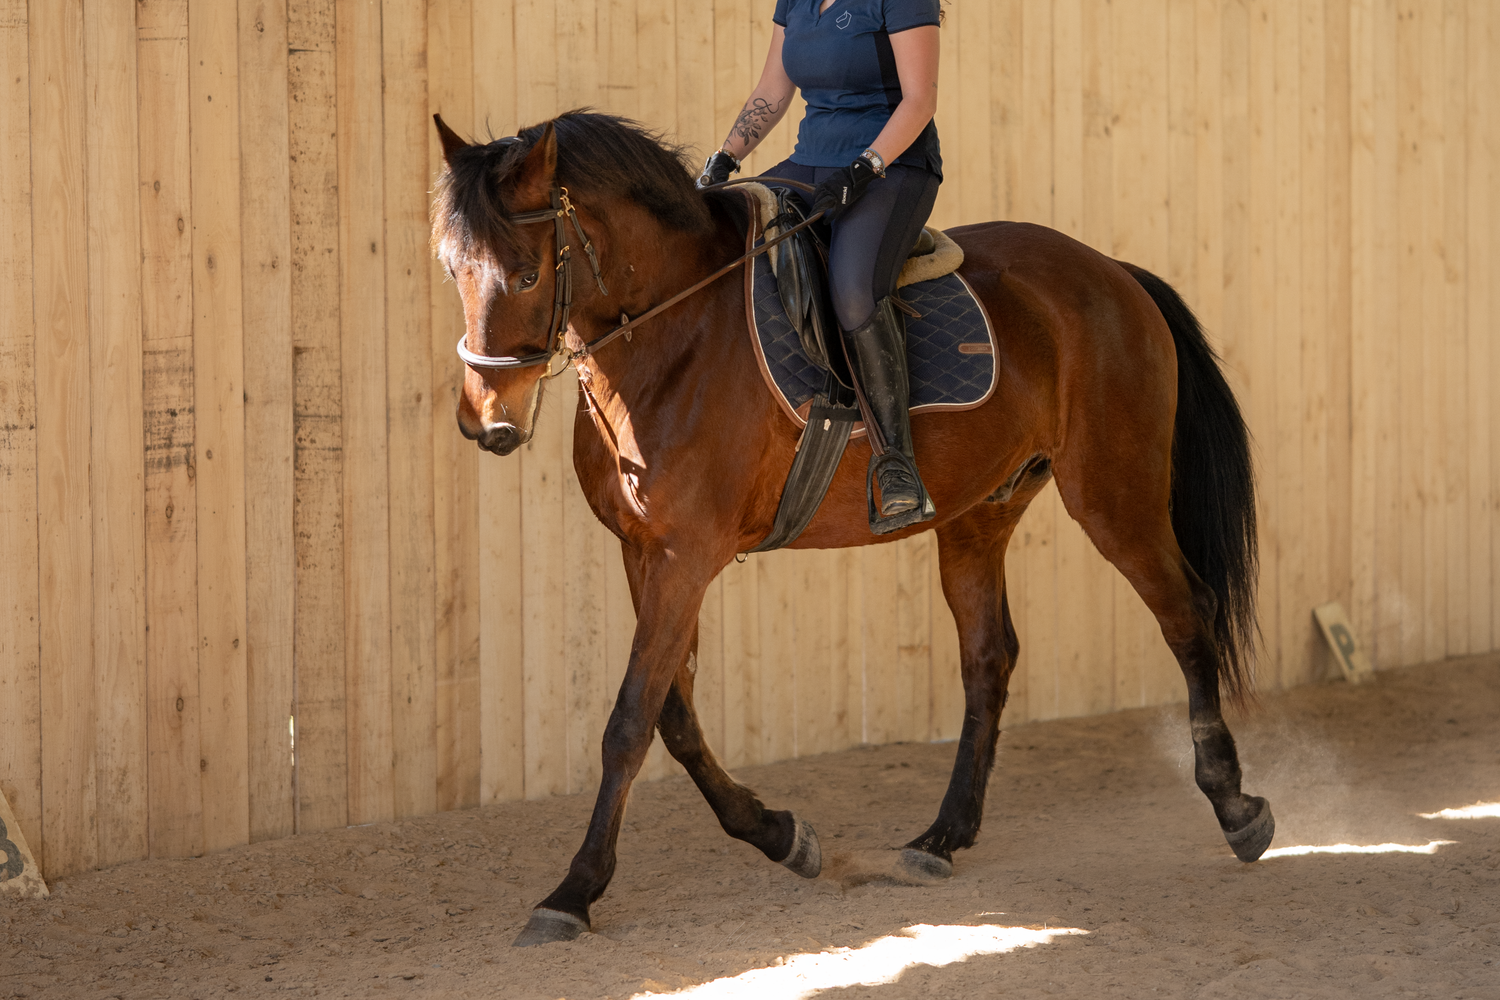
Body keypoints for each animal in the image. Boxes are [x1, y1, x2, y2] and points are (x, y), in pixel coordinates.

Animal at [430, 110, 1273, 947]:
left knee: (1186, 615)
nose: (485, 420)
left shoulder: (684, 558)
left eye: (527, 274)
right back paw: (943, 836)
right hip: (979, 515)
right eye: (451, 270)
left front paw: (573, 891)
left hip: (1113, 496)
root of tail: (1112, 272)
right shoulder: (644, 553)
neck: (674, 335)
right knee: (989, 659)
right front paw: (779, 834)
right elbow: (674, 715)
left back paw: (1236, 809)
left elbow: (631, 721)